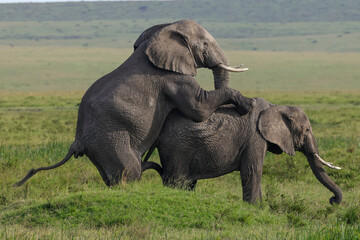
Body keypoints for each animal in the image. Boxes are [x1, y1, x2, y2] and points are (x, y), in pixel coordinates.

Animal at [14, 19, 255, 187]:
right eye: (204, 44)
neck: (162, 32)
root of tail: (77, 141)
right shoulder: (171, 77)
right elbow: (199, 107)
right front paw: (248, 104)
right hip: (110, 138)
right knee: (130, 170)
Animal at [142, 97, 342, 204]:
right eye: (307, 130)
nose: (332, 201)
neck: (275, 106)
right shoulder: (254, 137)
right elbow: (253, 170)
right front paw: (256, 207)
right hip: (177, 148)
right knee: (177, 180)